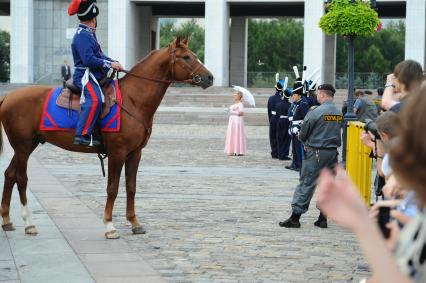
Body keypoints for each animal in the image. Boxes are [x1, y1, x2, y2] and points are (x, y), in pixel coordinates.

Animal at [0, 37, 213, 240]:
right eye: (186, 57)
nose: (210, 77)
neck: (132, 100)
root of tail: (9, 97)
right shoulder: (117, 153)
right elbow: (113, 187)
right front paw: (110, 226)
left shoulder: (135, 153)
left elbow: (131, 187)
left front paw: (134, 223)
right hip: (22, 146)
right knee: (21, 178)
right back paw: (29, 223)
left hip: (28, 145)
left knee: (10, 175)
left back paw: (7, 220)